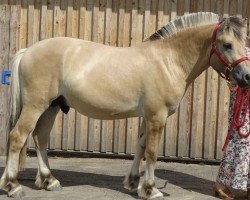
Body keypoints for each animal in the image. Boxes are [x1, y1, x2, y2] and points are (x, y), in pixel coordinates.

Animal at [0, 12, 249, 200]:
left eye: (244, 44)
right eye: (227, 44)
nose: (247, 77)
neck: (168, 61)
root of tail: (28, 51)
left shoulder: (148, 116)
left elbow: (140, 146)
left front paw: (133, 183)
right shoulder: (157, 116)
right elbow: (152, 152)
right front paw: (151, 189)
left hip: (51, 107)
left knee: (40, 138)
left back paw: (49, 180)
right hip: (35, 106)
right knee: (18, 136)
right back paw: (13, 186)